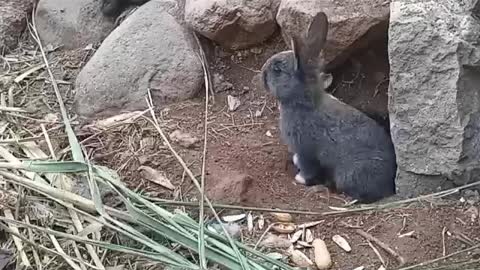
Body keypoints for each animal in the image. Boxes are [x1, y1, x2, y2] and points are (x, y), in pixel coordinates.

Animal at [262, 11, 398, 204]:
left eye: (277, 70)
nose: (262, 74)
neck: (303, 102)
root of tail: (390, 184)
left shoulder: (305, 150)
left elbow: (308, 169)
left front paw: (300, 179)